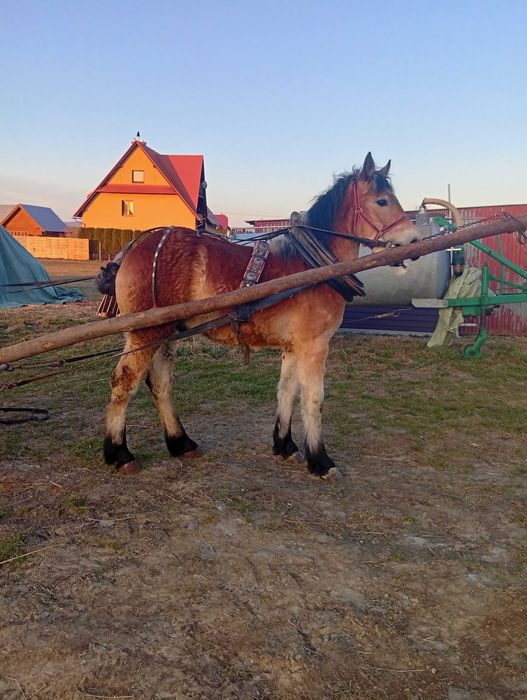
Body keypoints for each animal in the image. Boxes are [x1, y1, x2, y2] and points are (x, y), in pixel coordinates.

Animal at [99, 153, 422, 479]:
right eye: (382, 201)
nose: (414, 242)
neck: (312, 266)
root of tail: (134, 247)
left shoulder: (293, 346)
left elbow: (287, 391)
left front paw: (285, 445)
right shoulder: (314, 345)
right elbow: (313, 399)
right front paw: (320, 460)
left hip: (167, 333)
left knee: (160, 384)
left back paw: (181, 442)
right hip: (145, 333)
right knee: (123, 382)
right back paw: (119, 452)